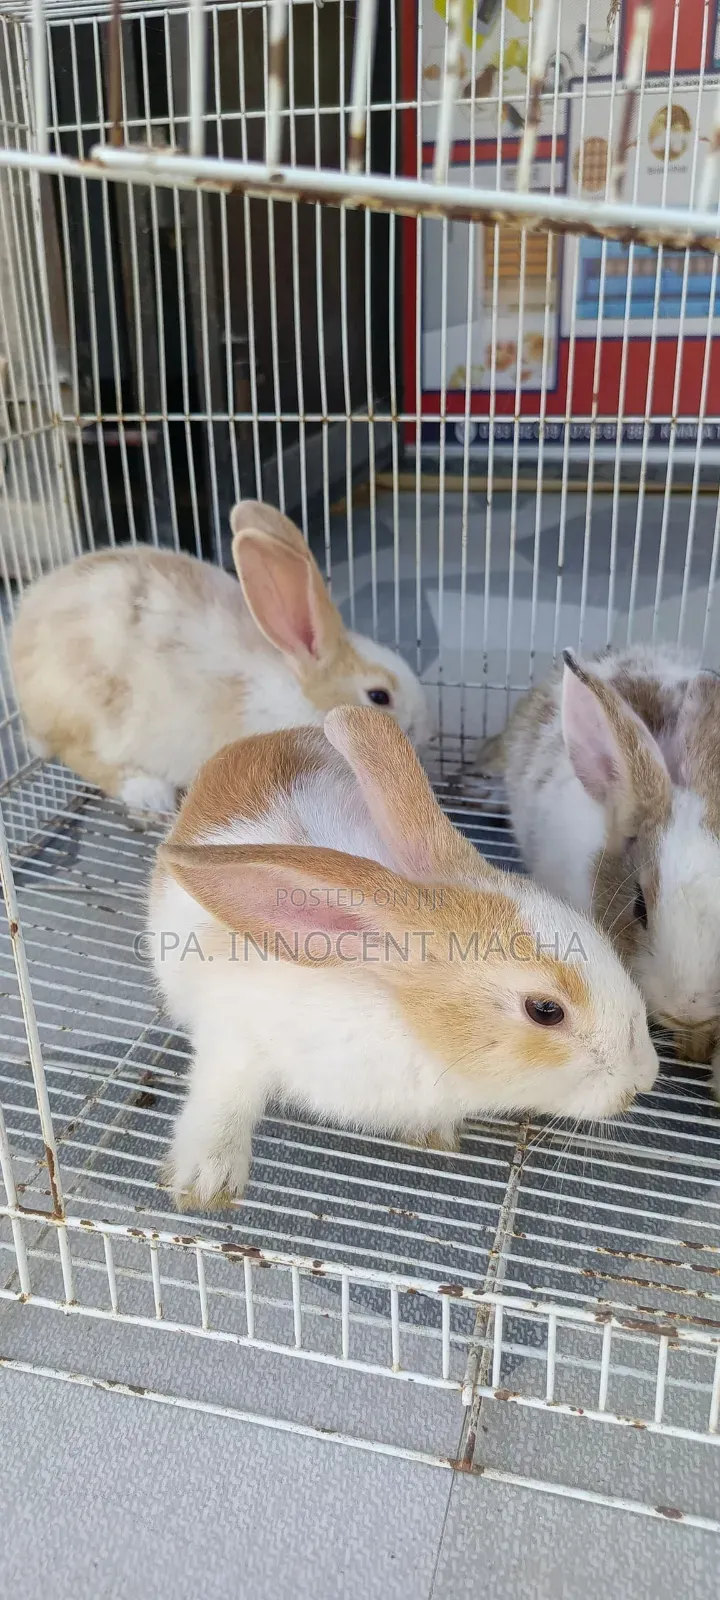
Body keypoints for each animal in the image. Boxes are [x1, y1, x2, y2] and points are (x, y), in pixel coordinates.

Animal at [10, 500, 430, 815]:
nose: (424, 732)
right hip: (88, 714)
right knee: (78, 754)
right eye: (379, 697)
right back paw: (148, 792)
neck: (303, 701)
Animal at [148, 705, 657, 1208]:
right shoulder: (234, 1035)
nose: (643, 1078)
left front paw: (433, 1134)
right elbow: (224, 1096)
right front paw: (206, 1181)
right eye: (545, 1010)